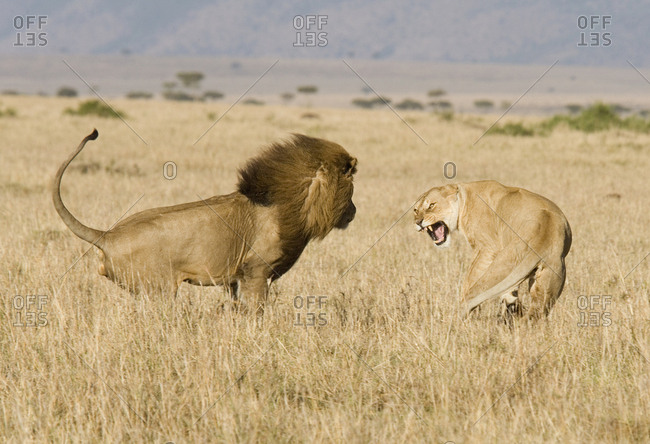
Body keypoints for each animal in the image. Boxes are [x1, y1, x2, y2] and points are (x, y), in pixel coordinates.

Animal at [53, 129, 357, 313]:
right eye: (352, 190)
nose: (354, 211)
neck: (292, 203)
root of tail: (106, 235)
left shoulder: (235, 277)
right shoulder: (255, 271)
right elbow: (256, 310)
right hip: (158, 291)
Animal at [413, 180, 571, 320]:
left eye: (431, 205)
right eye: (415, 210)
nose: (418, 222)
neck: (464, 198)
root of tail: (542, 236)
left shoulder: (487, 248)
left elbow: (470, 277)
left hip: (500, 268)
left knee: (470, 297)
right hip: (550, 278)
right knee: (534, 314)